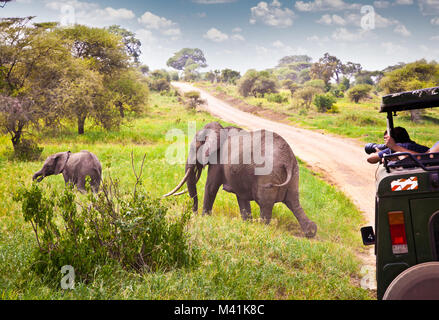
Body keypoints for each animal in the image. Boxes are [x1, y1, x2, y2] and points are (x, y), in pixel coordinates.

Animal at [163, 122, 318, 238]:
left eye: (195, 147)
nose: (193, 213)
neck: (219, 129)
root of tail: (287, 159)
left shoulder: (218, 160)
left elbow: (211, 187)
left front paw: (204, 218)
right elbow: (241, 197)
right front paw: (247, 224)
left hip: (268, 174)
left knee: (266, 203)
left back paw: (262, 230)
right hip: (295, 174)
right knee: (293, 202)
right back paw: (311, 231)